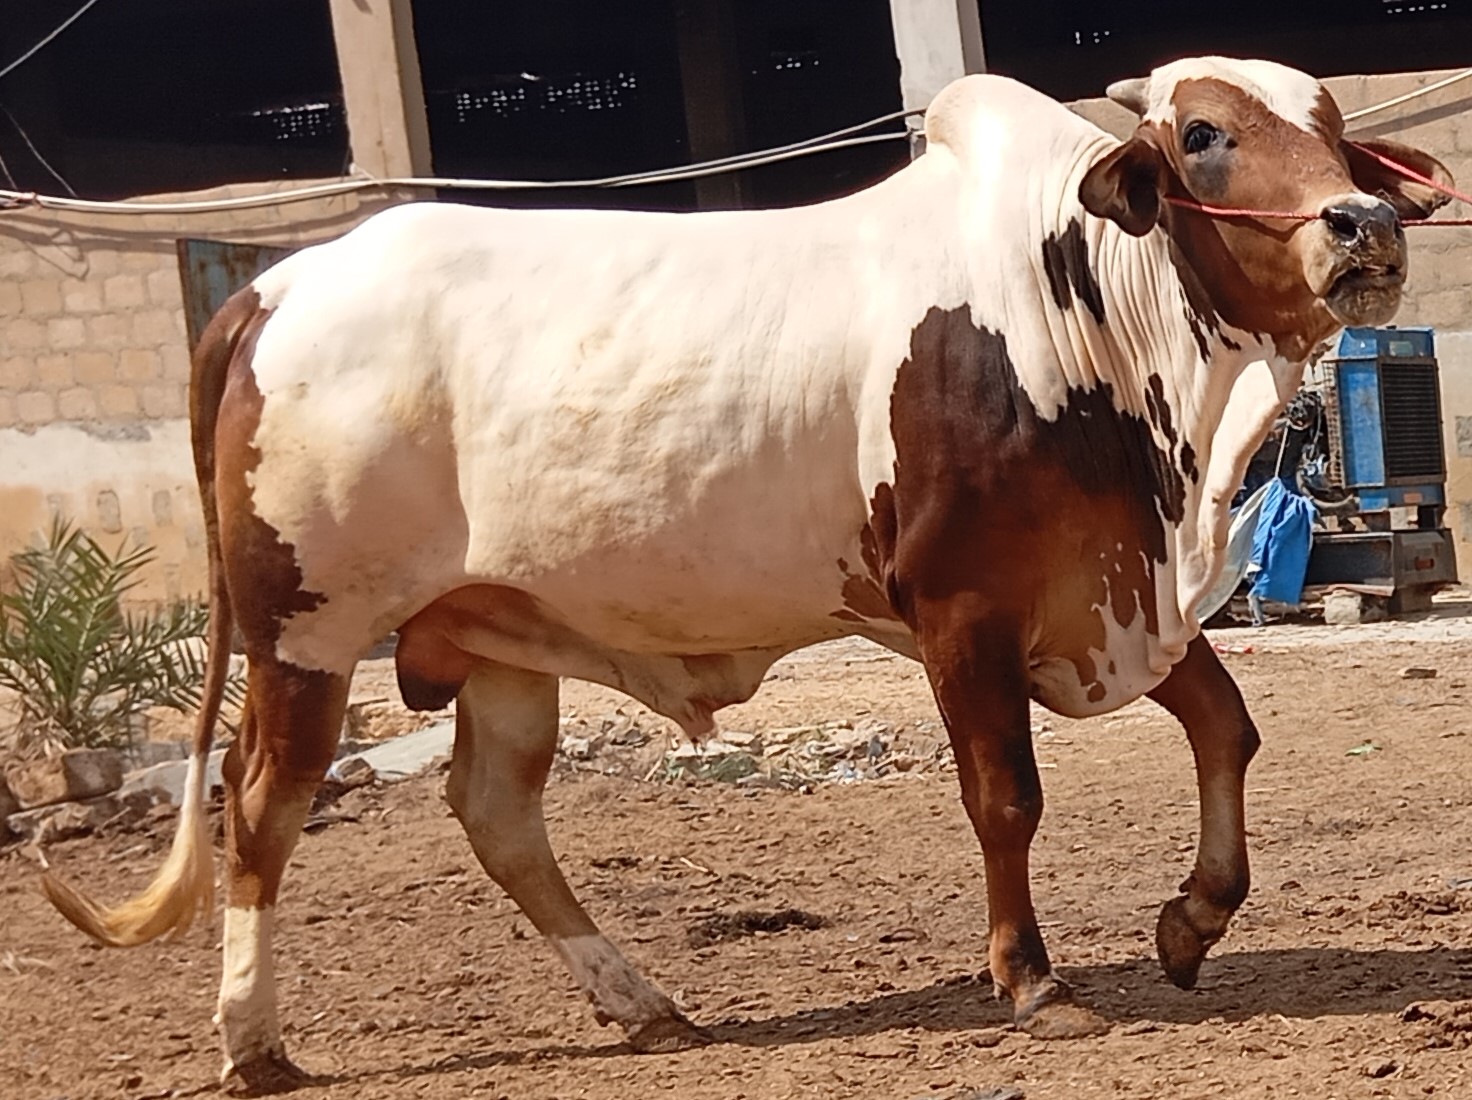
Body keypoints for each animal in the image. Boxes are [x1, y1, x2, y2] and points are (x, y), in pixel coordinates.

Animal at [42, 56, 1452, 1092]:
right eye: (1204, 133)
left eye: (1334, 129)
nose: (1363, 224)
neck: (1078, 317)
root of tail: (274, 286)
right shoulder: (962, 611)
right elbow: (1005, 797)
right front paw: (1031, 977)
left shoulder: (1112, 598)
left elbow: (1227, 726)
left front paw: (1192, 917)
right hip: (310, 631)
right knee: (260, 810)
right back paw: (253, 1038)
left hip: (498, 641)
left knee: (495, 814)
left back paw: (643, 1002)